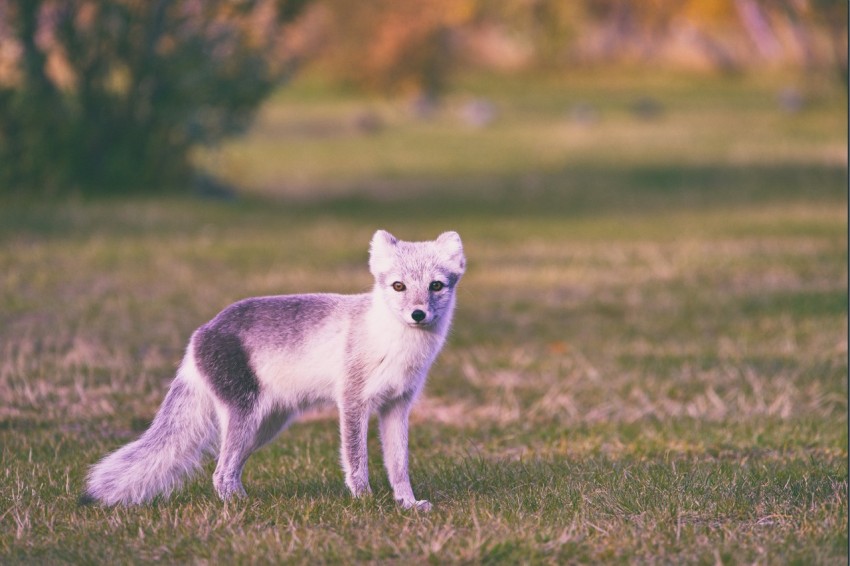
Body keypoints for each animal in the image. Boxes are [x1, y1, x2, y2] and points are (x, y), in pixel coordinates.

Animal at [81, 230, 465, 511]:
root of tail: (199, 334)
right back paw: (240, 507)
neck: (395, 344)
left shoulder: (397, 406)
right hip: (245, 417)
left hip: (265, 426)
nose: (418, 314)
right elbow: (357, 460)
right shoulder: (353, 402)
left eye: (436, 286)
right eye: (399, 286)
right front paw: (366, 502)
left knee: (227, 468)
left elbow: (399, 465)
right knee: (220, 472)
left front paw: (407, 504)